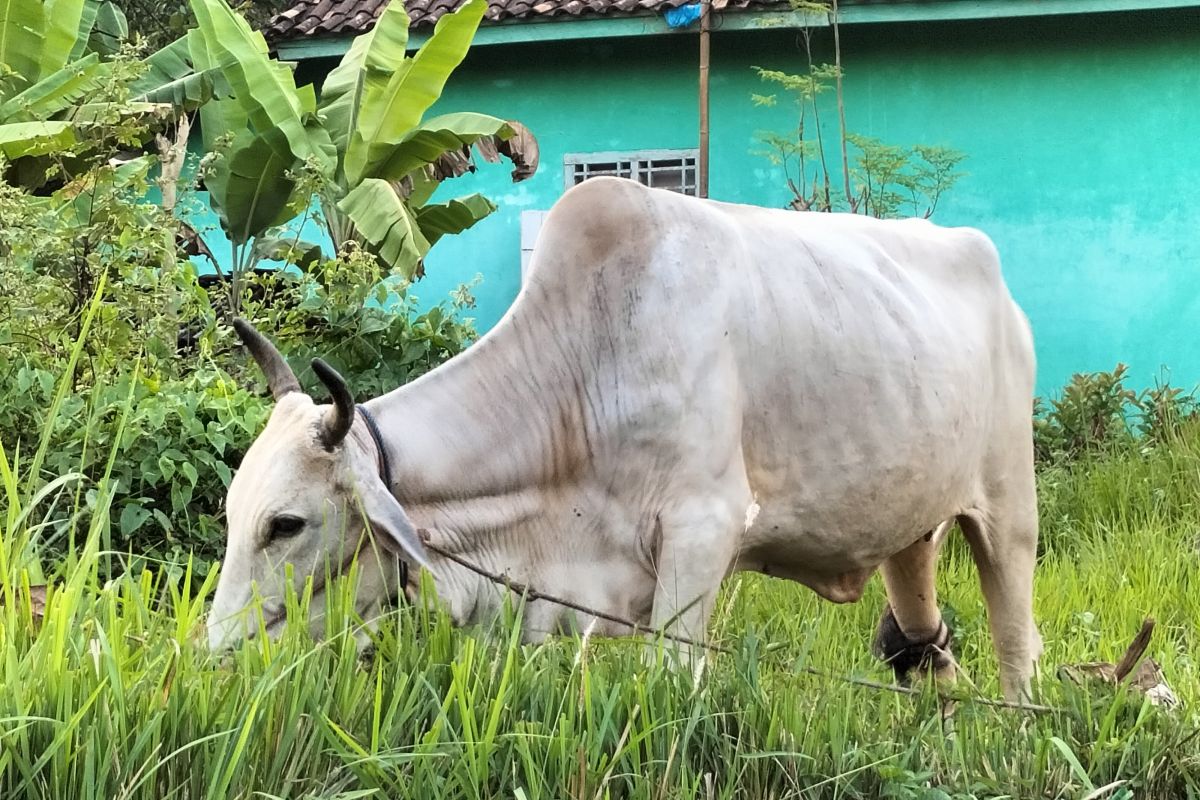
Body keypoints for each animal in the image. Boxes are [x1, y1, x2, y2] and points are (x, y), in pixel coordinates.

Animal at [206, 176, 1041, 700]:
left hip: (1008, 509)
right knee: (924, 638)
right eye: (229, 512)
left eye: (287, 524)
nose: (214, 657)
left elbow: (671, 681)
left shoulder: (702, 535)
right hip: (910, 527)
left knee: (1016, 648)